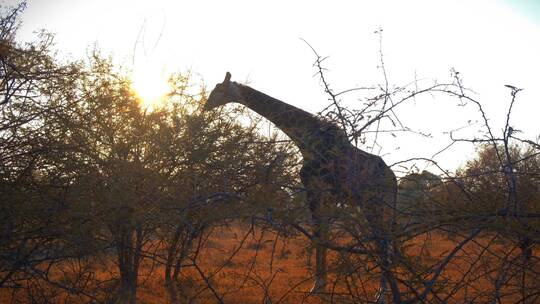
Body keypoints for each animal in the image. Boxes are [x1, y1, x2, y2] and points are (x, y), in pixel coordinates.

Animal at [205, 72, 398, 302]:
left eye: (219, 89)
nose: (205, 106)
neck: (305, 139)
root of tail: (394, 180)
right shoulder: (322, 194)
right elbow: (321, 234)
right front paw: (320, 284)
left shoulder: (317, 189)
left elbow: (319, 235)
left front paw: (318, 285)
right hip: (380, 206)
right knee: (386, 242)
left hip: (373, 204)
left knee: (383, 242)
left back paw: (382, 294)